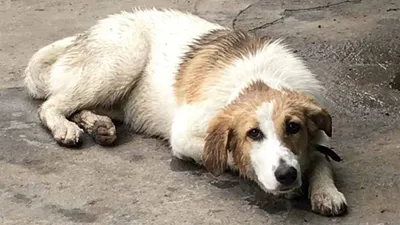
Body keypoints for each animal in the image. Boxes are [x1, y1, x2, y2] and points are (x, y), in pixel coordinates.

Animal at [23, 8, 346, 216]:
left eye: (293, 127)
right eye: (253, 134)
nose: (287, 175)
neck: (259, 80)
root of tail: (85, 34)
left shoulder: (318, 132)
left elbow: (321, 156)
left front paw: (325, 191)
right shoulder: (185, 136)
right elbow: (227, 156)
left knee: (77, 105)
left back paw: (98, 125)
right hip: (122, 60)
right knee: (51, 104)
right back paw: (65, 128)